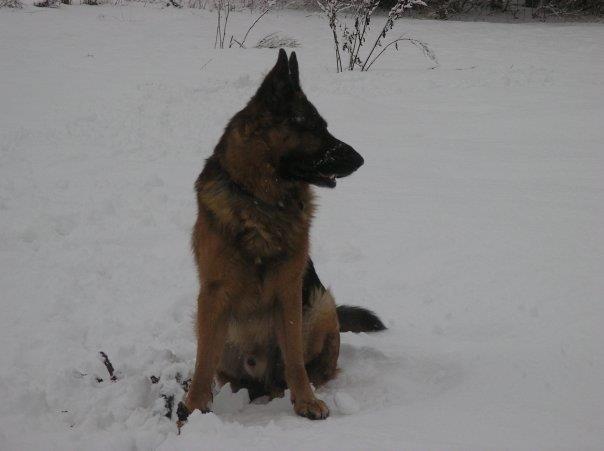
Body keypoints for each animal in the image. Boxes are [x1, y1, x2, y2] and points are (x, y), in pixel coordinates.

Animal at [180, 49, 386, 424]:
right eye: (316, 128)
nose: (361, 159)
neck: (260, 202)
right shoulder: (213, 294)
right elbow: (203, 362)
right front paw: (194, 406)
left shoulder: (288, 291)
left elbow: (293, 356)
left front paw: (306, 401)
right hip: (212, 326)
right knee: (224, 368)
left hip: (321, 305)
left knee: (312, 367)